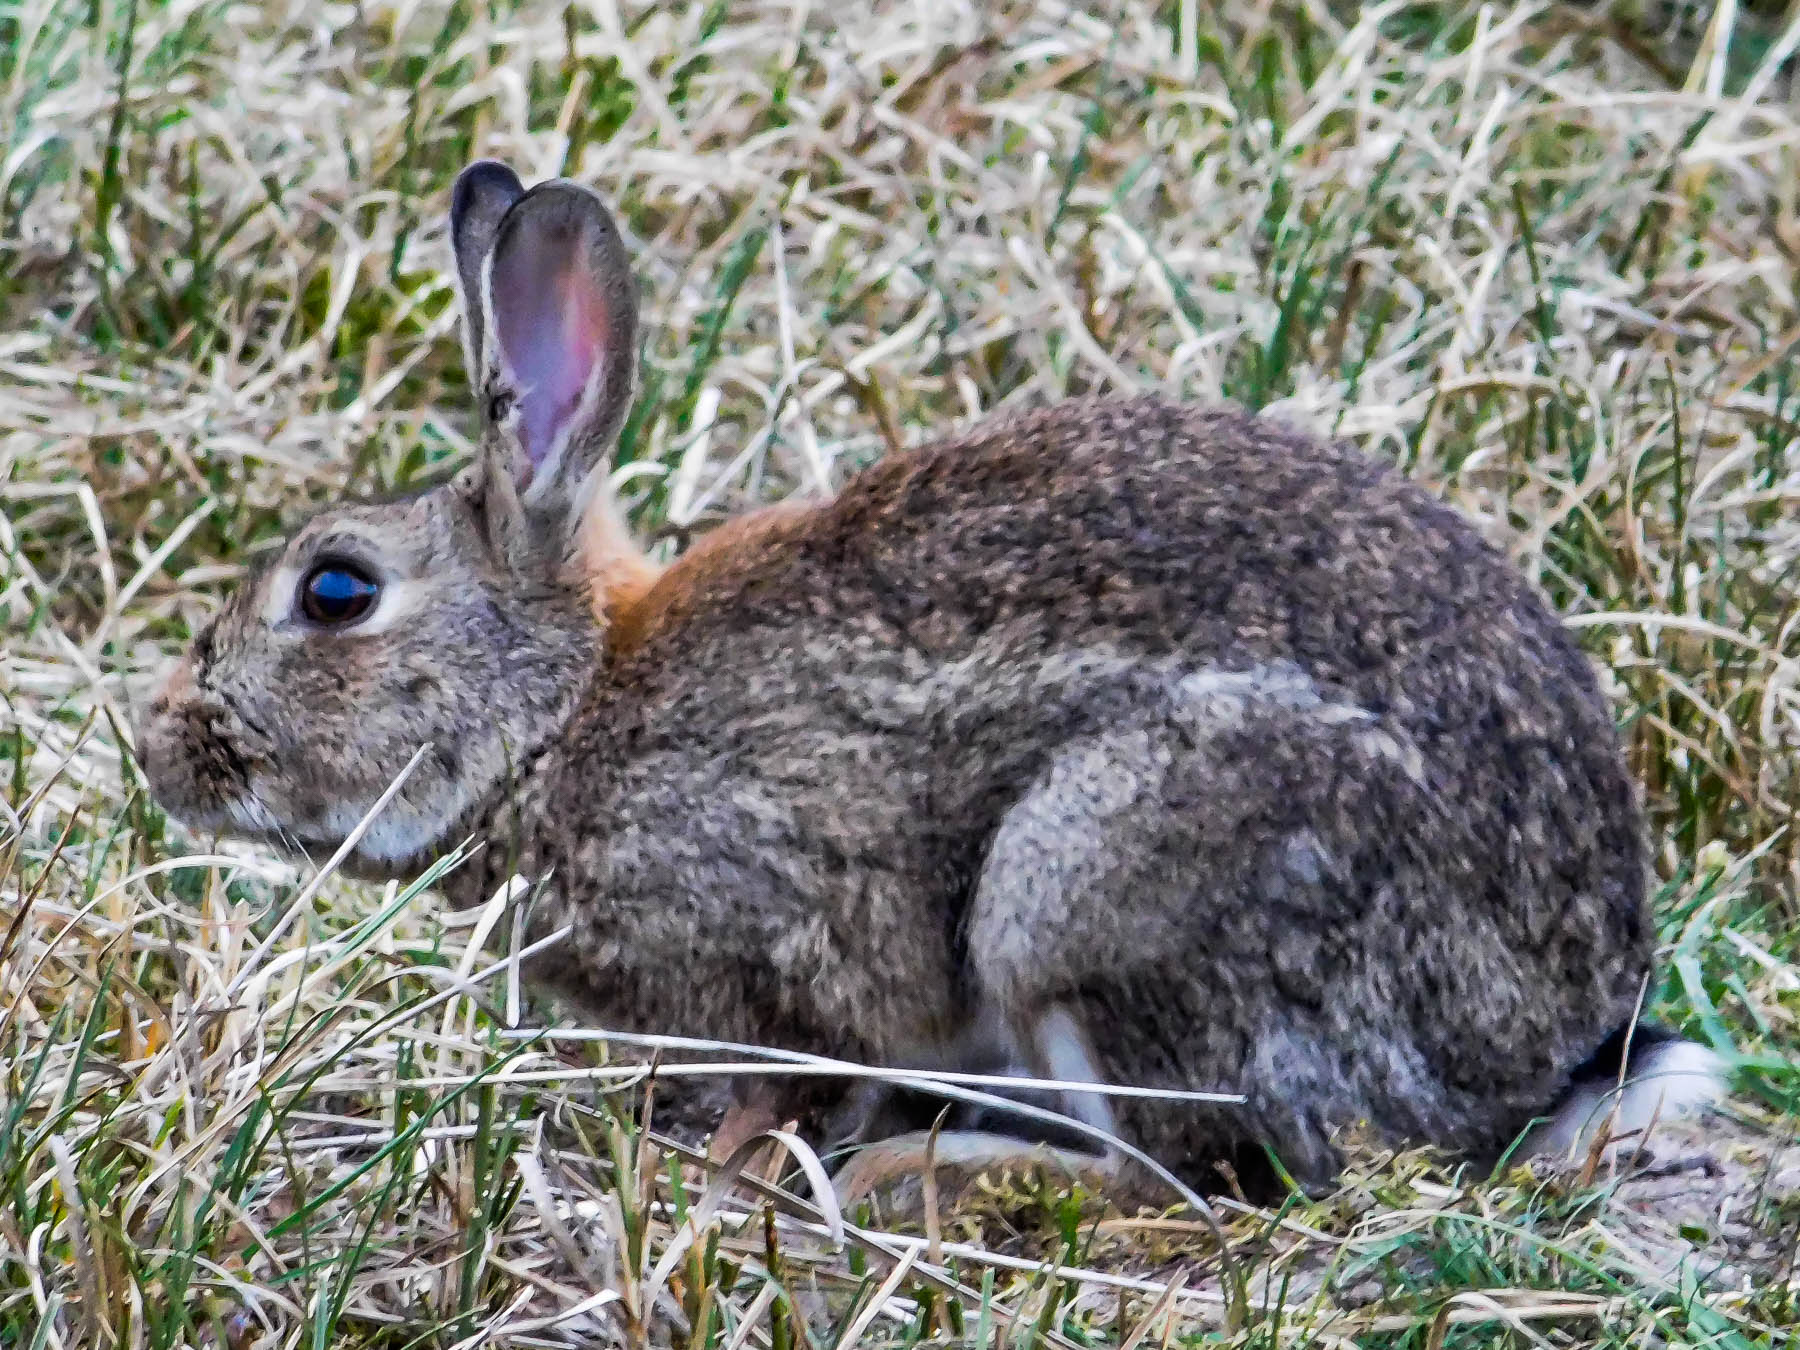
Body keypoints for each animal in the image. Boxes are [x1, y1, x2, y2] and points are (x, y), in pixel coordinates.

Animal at [136, 160, 1724, 1201]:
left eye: (335, 592)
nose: (158, 741)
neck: (565, 710)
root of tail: (1540, 1047)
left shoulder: (781, 946)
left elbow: (790, 1080)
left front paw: (719, 1174)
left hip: (1091, 877)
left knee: (1195, 1172)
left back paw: (924, 1165)